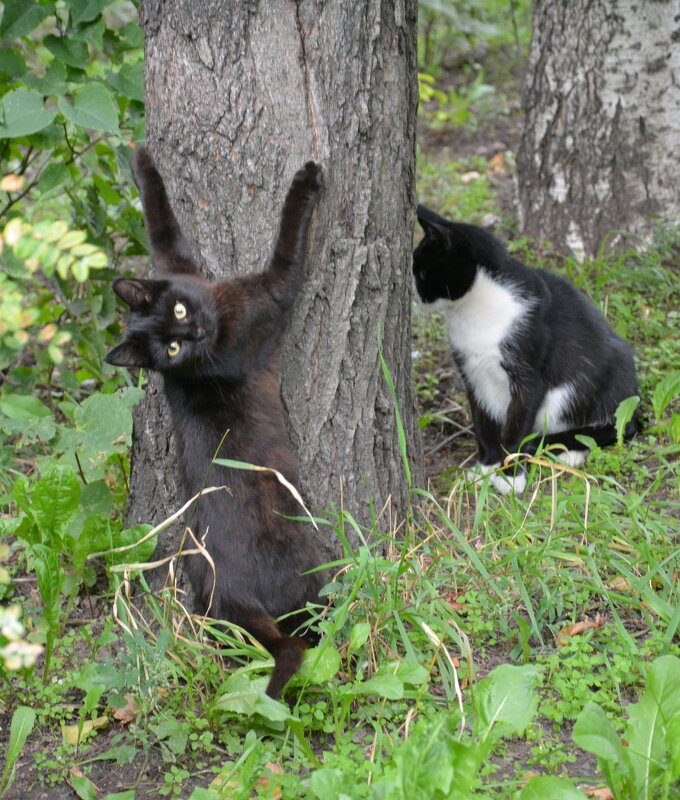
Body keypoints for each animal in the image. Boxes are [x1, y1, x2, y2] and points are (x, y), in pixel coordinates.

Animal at [106, 147, 326, 696]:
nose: (198, 332)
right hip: (307, 563)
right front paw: (306, 181)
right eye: (172, 348)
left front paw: (141, 161)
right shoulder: (273, 291)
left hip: (201, 585)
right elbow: (287, 247)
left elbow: (162, 225)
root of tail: (233, 595)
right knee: (308, 630)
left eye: (180, 311)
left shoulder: (179, 266)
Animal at [412, 205, 640, 494]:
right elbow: (483, 422)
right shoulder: (472, 372)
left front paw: (510, 475)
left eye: (422, 273)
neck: (474, 312)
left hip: (599, 381)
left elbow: (518, 426)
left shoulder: (529, 370)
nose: (414, 294)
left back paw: (564, 452)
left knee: (615, 428)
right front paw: (486, 467)